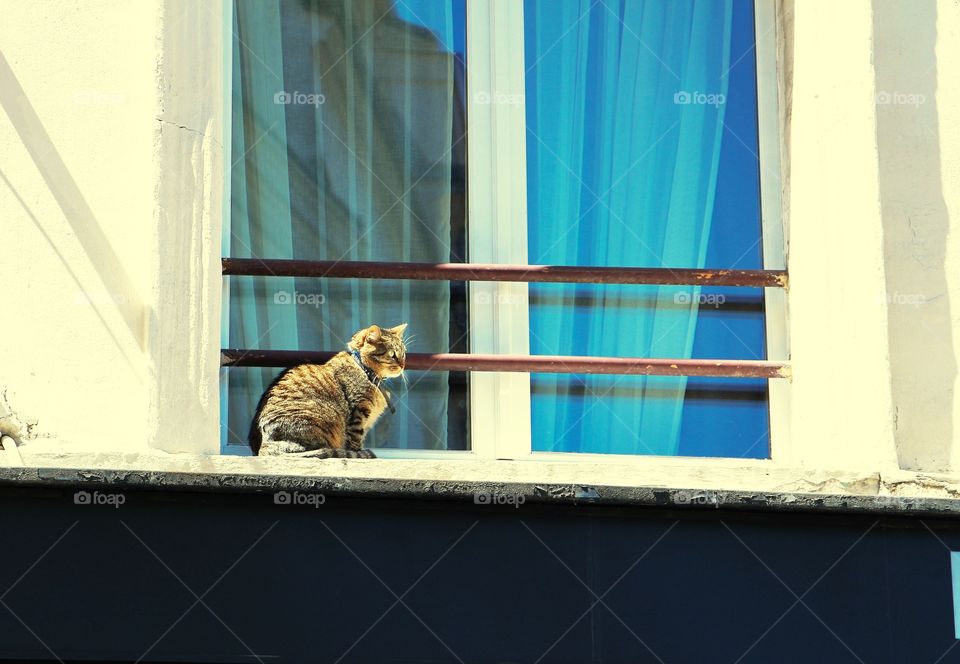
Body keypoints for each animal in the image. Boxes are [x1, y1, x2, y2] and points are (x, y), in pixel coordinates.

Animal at [248, 324, 404, 460]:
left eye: (403, 354)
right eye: (392, 355)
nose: (403, 365)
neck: (365, 370)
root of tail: (263, 448)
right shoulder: (358, 411)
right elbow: (355, 440)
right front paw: (359, 453)